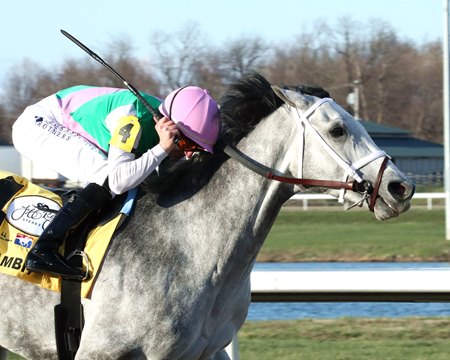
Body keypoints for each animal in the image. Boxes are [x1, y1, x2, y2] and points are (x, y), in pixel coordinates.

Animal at [0, 71, 414, 358]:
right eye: (338, 129)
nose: (401, 187)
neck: (190, 250)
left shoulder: (207, 350)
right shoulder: (102, 350)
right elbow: (114, 175)